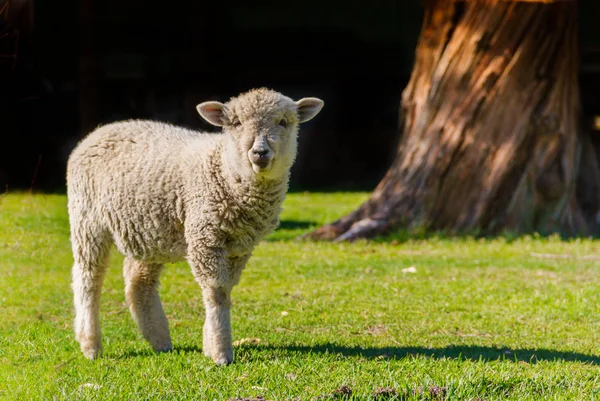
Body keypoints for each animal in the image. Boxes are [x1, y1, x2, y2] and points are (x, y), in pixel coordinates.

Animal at [67, 89, 324, 364]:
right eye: (236, 123)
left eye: (284, 122)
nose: (259, 152)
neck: (225, 168)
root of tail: (100, 131)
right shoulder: (205, 237)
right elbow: (216, 292)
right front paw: (221, 352)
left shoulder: (239, 247)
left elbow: (225, 291)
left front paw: (210, 343)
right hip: (87, 219)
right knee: (88, 279)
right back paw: (90, 345)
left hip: (149, 229)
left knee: (138, 281)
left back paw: (159, 340)